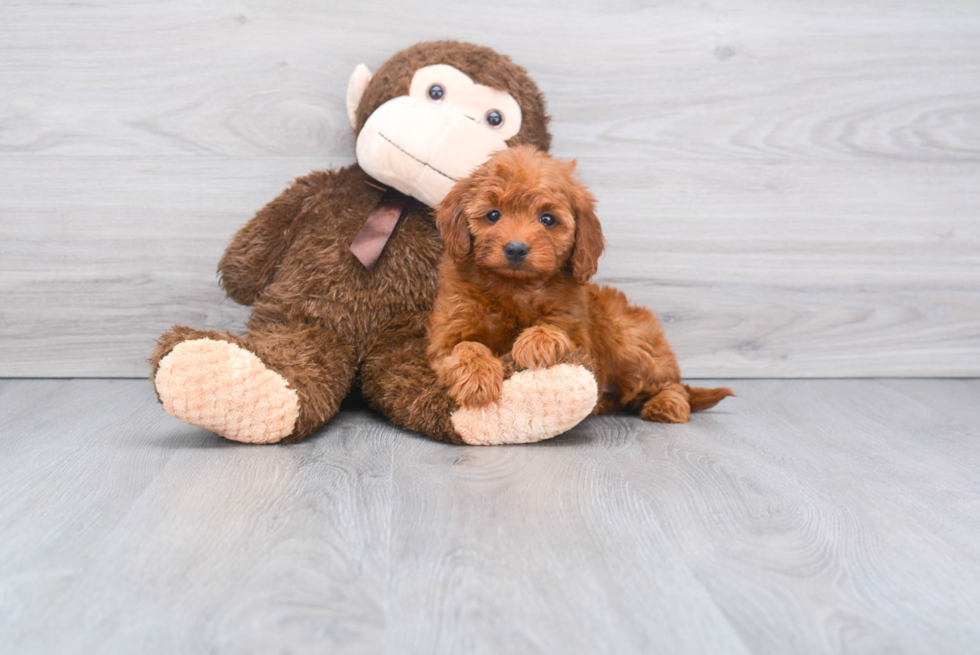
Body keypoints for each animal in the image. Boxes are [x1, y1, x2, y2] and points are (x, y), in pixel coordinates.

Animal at [424, 147, 732, 426]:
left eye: (547, 219)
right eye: (493, 215)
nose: (515, 249)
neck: (515, 286)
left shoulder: (578, 333)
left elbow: (555, 328)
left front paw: (536, 343)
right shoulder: (448, 333)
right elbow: (465, 348)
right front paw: (478, 380)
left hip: (630, 341)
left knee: (669, 383)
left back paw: (667, 405)